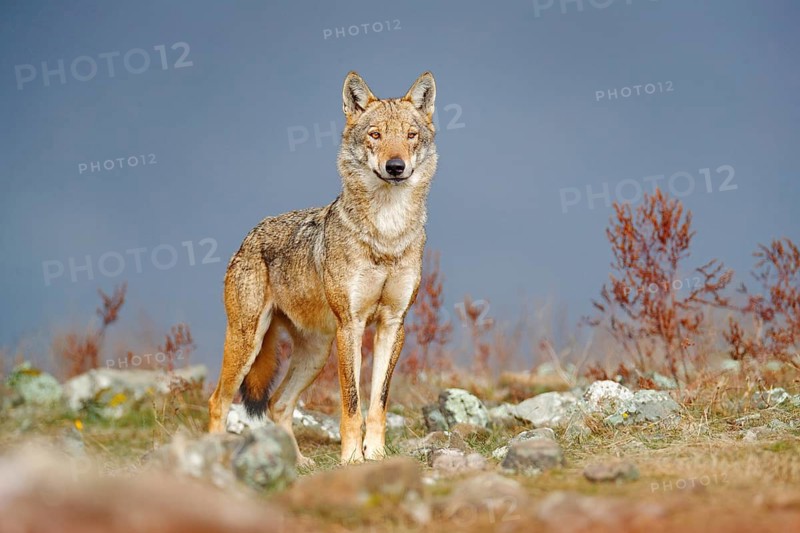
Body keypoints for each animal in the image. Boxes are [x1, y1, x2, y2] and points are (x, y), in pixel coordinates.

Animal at [207, 71, 438, 464]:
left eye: (410, 135)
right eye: (375, 135)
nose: (396, 167)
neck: (387, 234)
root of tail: (248, 236)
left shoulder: (393, 324)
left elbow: (378, 404)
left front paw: (376, 456)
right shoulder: (351, 325)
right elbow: (352, 405)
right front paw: (352, 459)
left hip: (315, 354)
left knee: (277, 403)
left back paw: (297, 462)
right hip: (248, 342)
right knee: (218, 402)